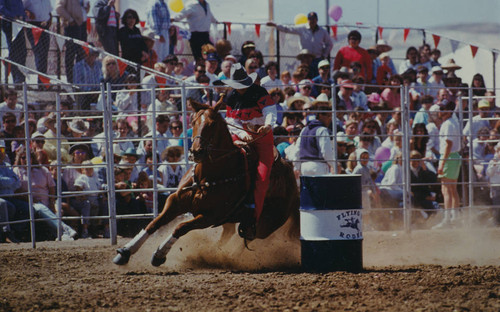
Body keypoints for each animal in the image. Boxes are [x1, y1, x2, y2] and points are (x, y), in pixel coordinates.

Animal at [113, 98, 298, 266]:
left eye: (213, 124)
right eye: (194, 121)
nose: (196, 151)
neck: (206, 176)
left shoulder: (210, 216)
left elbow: (180, 227)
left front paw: (159, 254)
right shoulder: (176, 201)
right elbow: (154, 223)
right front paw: (125, 251)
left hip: (267, 224)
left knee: (248, 240)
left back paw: (228, 257)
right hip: (232, 220)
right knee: (228, 236)